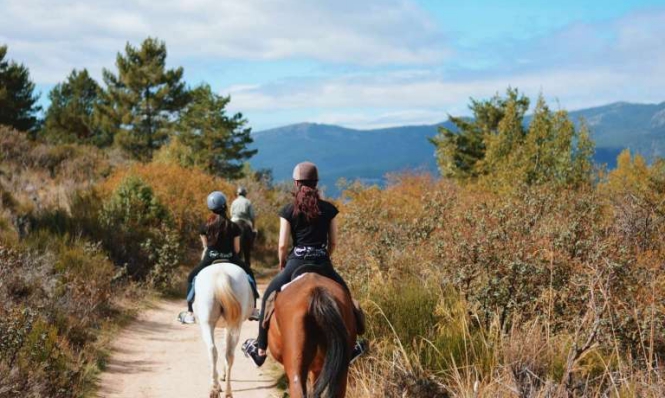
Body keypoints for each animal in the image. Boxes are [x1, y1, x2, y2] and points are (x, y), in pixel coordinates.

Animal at [195, 262, 256, 396]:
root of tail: (221, 274)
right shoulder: (228, 326)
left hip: (209, 324)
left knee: (214, 350)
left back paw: (216, 388)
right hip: (233, 325)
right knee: (228, 354)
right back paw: (226, 392)